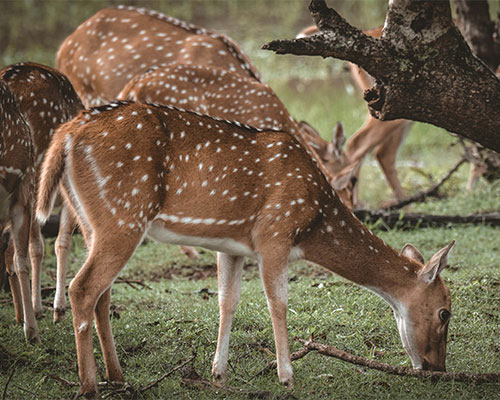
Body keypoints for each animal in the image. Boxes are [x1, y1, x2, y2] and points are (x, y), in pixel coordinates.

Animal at [37, 101, 456, 396]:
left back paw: (118, 376)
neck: (313, 220)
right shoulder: (275, 234)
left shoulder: (232, 245)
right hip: (122, 216)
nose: (438, 369)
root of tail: (65, 134)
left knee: (102, 294)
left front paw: (218, 373)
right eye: (444, 312)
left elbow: (228, 301)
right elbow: (278, 303)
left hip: (91, 219)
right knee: (82, 288)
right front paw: (287, 376)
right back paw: (89, 386)